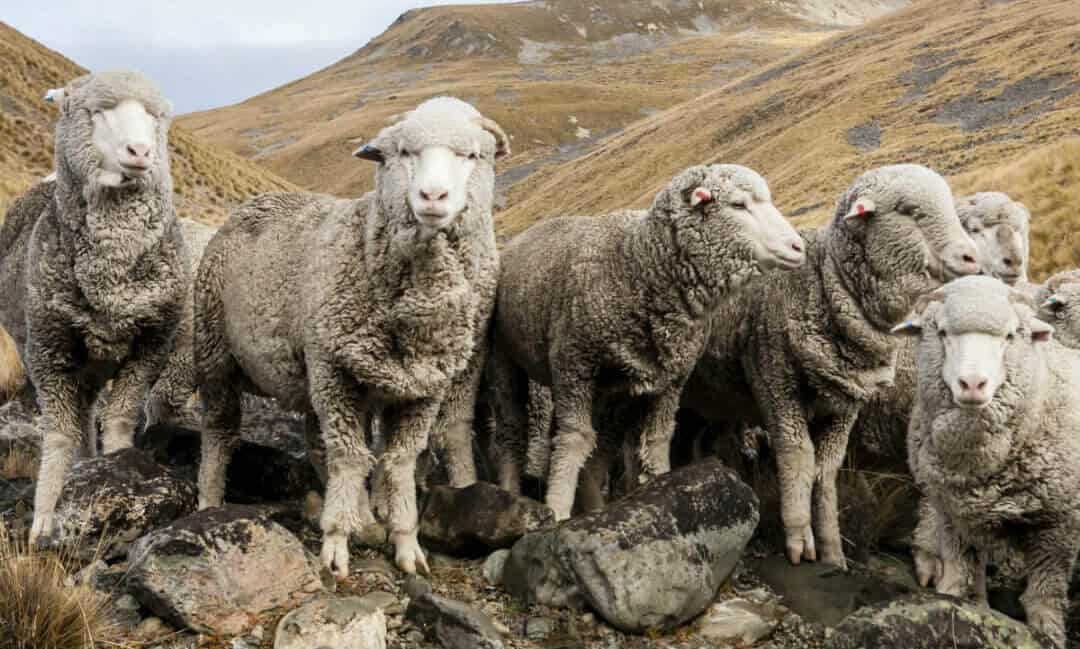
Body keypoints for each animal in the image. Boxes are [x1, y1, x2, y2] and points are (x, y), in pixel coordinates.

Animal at [0, 70, 187, 545]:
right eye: (96, 111)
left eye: (155, 116)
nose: (139, 151)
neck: (113, 278)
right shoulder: (48, 353)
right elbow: (60, 436)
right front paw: (45, 516)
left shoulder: (149, 346)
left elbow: (119, 420)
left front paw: (121, 470)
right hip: (45, 352)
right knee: (77, 421)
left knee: (88, 413)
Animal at [194, 96, 508, 578]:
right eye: (403, 152)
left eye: (472, 155)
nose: (432, 196)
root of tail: (256, 202)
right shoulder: (334, 373)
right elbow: (348, 457)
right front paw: (336, 544)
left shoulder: (422, 387)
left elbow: (398, 462)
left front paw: (405, 540)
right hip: (217, 353)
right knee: (220, 433)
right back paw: (209, 499)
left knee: (315, 440)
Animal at [489, 164, 807, 520]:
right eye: (738, 205)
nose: (797, 247)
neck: (638, 264)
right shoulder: (573, 366)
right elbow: (573, 440)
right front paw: (556, 511)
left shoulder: (669, 383)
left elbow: (655, 444)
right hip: (505, 359)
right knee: (511, 430)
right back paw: (509, 492)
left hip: (616, 392)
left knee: (599, 454)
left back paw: (596, 507)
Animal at [680, 164, 980, 570]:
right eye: (907, 211)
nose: (971, 257)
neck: (825, 282)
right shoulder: (775, 381)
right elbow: (798, 457)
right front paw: (798, 540)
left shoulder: (845, 403)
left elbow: (826, 470)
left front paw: (831, 549)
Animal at [898, 275, 1080, 647]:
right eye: (941, 332)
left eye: (1010, 336)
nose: (972, 383)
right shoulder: (954, 515)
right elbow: (963, 576)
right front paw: (958, 603)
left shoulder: (1060, 525)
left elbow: (1045, 593)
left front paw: (1048, 633)